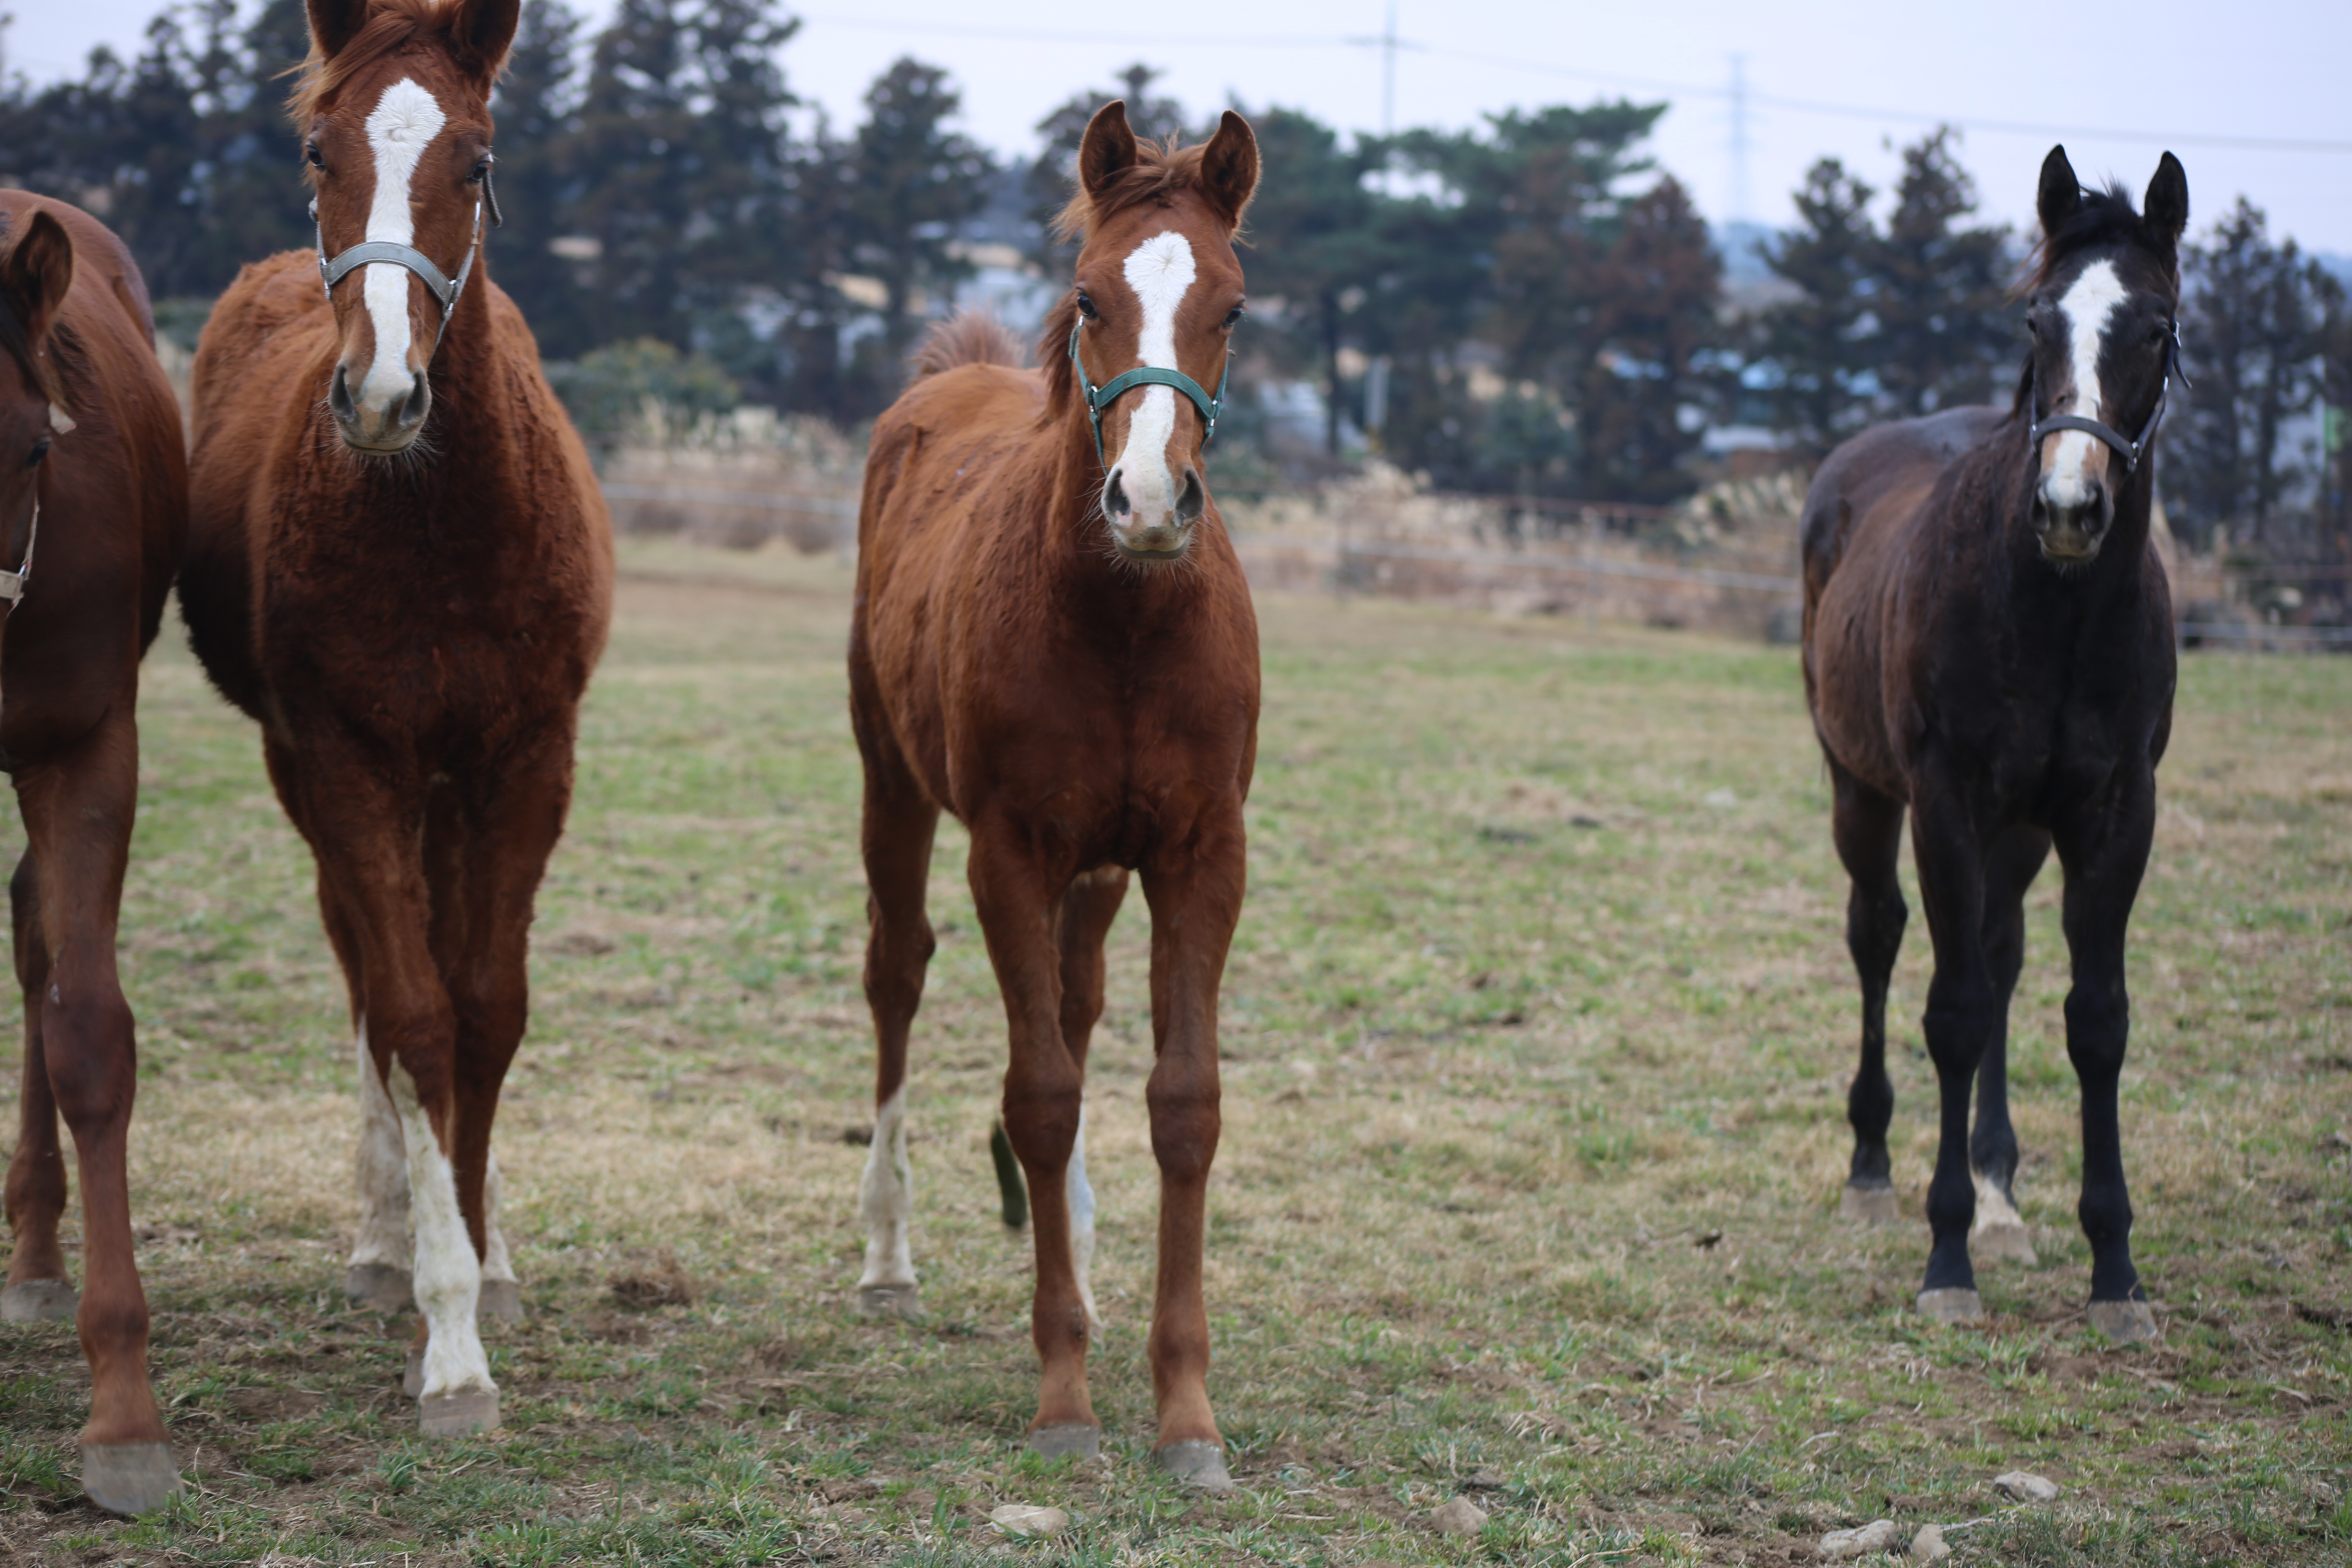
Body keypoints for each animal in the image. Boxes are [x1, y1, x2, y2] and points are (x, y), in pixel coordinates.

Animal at [180, 0, 616, 1439]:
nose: (379, 393)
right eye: (321, 150)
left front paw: (487, 1259)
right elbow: (415, 1014)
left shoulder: (528, 760)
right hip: (315, 774)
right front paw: (448, 1333)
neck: (439, 523)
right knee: (368, 978)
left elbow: (488, 1010)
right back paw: (382, 1240)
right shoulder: (350, 759)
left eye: (474, 162)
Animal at [851, 104, 1270, 1495]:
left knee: (1080, 1013)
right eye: (1089, 297)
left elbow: (1181, 1104)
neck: (1126, 619)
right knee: (899, 974)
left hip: (1099, 870)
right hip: (893, 785)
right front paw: (1065, 1398)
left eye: (1234, 308)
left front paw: (1187, 1416)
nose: (1147, 501)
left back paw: (1077, 1243)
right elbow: (1036, 1096)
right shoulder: (1013, 852)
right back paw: (889, 1256)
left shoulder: (1200, 853)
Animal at [1806, 147, 2192, 1345]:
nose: (2068, 506)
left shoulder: (2114, 814)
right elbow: (1954, 1008)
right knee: (1880, 938)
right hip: (1860, 790)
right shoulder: (1944, 802)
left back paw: (1998, 1194)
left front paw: (2114, 1271)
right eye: (2037, 318)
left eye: (2155, 325)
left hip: (2019, 832)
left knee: (2004, 951)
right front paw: (1945, 1262)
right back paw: (1874, 1169)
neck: (2055, 608)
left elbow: (2094, 1020)